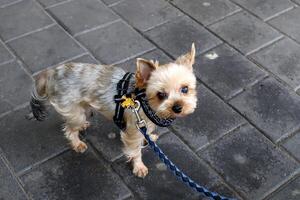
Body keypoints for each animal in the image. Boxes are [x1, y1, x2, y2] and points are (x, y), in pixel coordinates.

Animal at [30, 44, 198, 178]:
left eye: (185, 89)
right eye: (161, 95)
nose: (177, 107)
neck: (143, 100)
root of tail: (52, 73)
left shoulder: (144, 124)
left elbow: (147, 134)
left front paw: (149, 138)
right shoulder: (133, 130)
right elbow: (135, 150)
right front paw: (139, 167)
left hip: (81, 106)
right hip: (72, 109)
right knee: (69, 128)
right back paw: (77, 143)